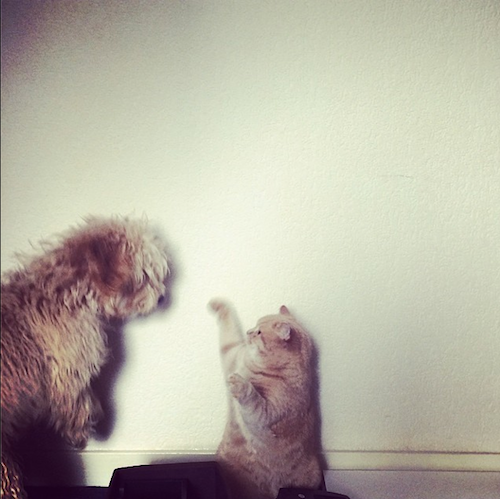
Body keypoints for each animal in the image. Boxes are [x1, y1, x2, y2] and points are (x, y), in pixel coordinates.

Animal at [0, 217, 170, 498]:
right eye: (144, 277)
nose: (163, 297)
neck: (69, 287)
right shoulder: (68, 365)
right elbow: (75, 397)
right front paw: (81, 429)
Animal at [208, 300, 322, 499]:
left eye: (259, 332)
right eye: (255, 326)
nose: (248, 332)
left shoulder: (266, 417)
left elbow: (252, 399)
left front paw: (240, 385)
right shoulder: (232, 352)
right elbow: (228, 323)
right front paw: (218, 304)